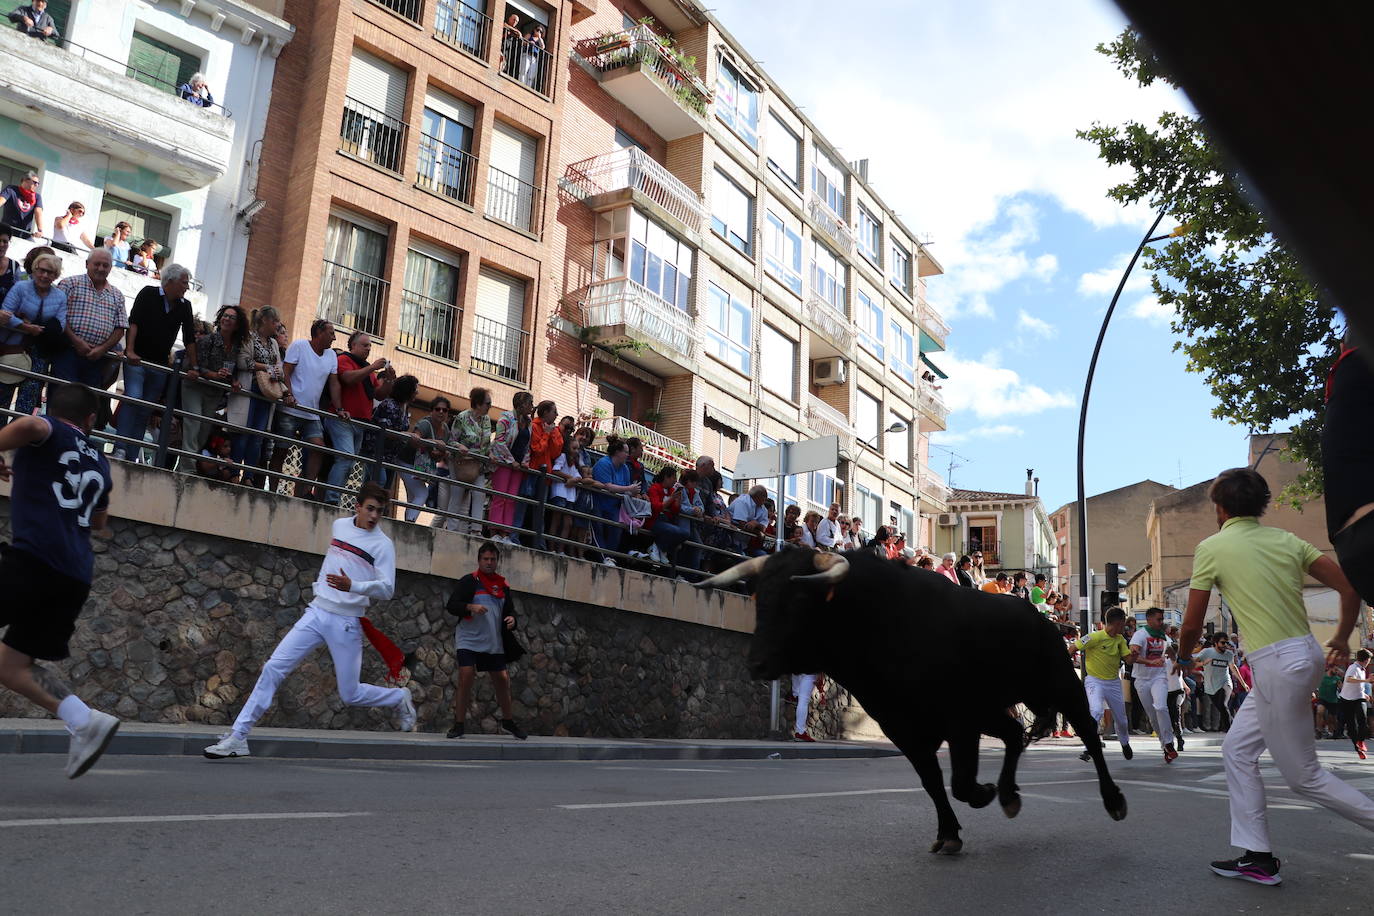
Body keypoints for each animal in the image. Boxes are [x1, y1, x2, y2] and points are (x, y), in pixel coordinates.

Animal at [697, 549, 1126, 856]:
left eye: (801, 599)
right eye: (759, 597)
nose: (756, 663)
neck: (878, 622)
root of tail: (1046, 620)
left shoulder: (958, 720)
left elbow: (960, 782)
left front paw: (981, 794)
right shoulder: (903, 727)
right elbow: (933, 782)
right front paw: (950, 832)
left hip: (1060, 685)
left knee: (1088, 733)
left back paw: (1113, 800)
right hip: (994, 707)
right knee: (1013, 732)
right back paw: (1008, 794)